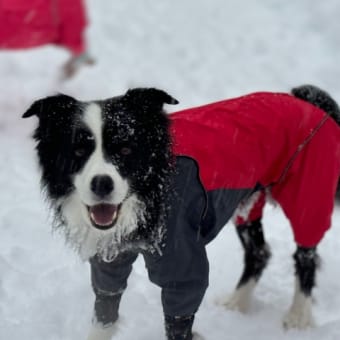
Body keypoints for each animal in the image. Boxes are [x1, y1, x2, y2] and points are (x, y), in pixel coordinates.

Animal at [24, 86, 340, 338]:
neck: (150, 193)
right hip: (248, 203)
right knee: (259, 252)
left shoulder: (183, 264)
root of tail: (309, 100)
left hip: (308, 195)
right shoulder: (109, 261)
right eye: (78, 151)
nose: (102, 183)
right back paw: (237, 302)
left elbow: (178, 320)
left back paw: (298, 316)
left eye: (125, 150)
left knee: (305, 255)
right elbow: (105, 313)